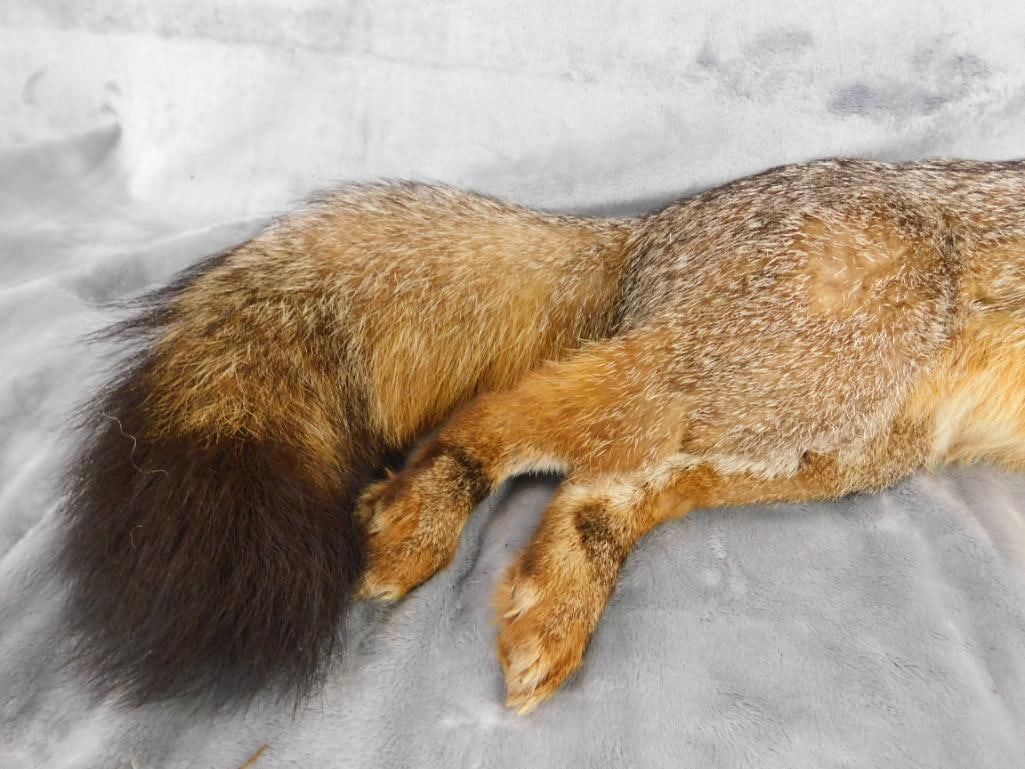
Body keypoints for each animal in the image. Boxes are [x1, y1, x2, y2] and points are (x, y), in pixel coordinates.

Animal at [58, 158, 1025, 715]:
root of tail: (649, 225)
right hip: (794, 389)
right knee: (499, 418)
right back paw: (426, 522)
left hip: (830, 444)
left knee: (602, 482)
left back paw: (552, 608)